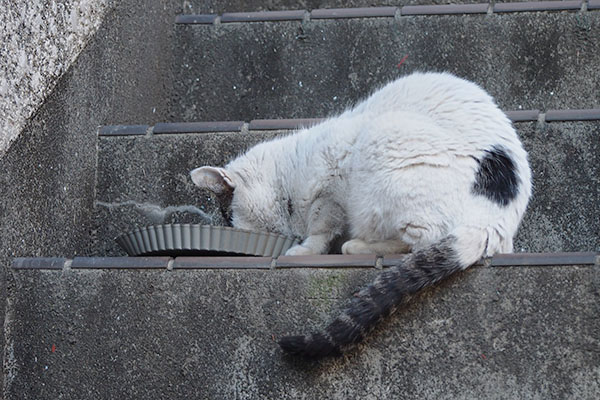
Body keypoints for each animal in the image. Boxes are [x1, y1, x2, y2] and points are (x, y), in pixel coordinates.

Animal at [190, 71, 532, 360]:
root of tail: (493, 224)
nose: (226, 224)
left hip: (385, 142)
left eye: (227, 218)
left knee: (423, 238)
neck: (284, 178)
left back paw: (356, 245)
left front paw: (306, 248)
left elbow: (322, 225)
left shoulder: (330, 189)